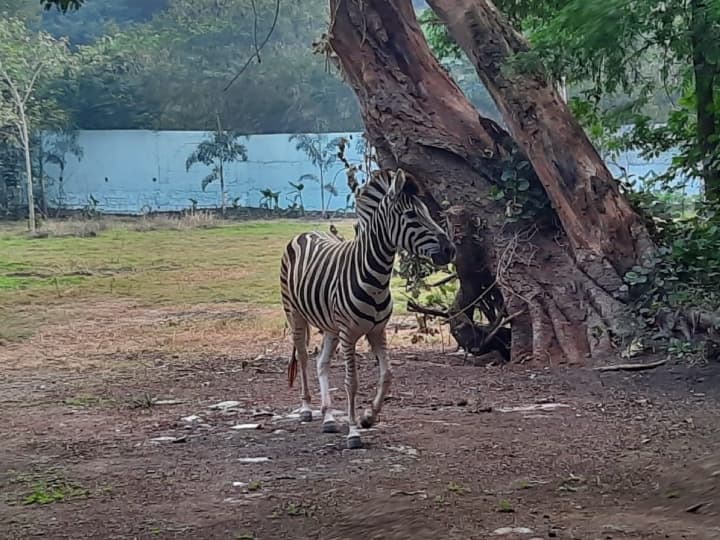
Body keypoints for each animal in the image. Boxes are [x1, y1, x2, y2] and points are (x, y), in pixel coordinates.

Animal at [278, 168, 452, 448]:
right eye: (412, 215)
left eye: (426, 211)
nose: (451, 249)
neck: (375, 279)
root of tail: (306, 232)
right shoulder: (349, 334)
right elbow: (352, 382)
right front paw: (353, 432)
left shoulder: (377, 331)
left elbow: (387, 374)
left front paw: (368, 417)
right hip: (295, 313)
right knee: (303, 357)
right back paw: (306, 409)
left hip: (330, 327)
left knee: (321, 362)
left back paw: (328, 417)